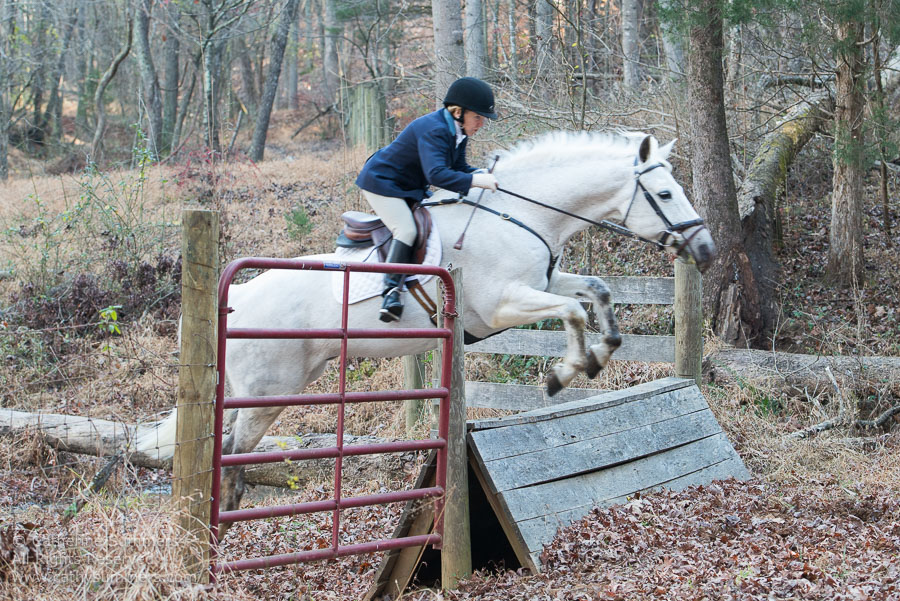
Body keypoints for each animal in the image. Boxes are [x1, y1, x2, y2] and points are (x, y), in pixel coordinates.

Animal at [137, 130, 716, 516]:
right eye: (666, 194)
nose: (707, 251)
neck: (524, 215)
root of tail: (235, 299)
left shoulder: (545, 284)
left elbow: (596, 291)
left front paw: (599, 354)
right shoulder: (504, 305)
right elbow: (574, 311)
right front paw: (563, 374)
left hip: (265, 389)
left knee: (227, 453)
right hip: (269, 392)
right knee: (233, 458)